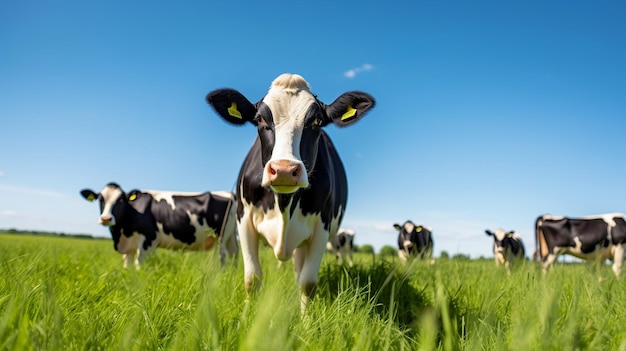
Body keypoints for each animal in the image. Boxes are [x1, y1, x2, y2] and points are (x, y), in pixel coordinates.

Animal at [81, 183, 238, 268]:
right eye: (100, 199)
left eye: (120, 200)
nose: (106, 218)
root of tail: (229, 193)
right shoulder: (129, 246)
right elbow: (127, 264)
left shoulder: (148, 238)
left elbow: (139, 262)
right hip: (231, 236)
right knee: (234, 254)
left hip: (221, 236)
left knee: (223, 256)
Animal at [205, 72, 372, 310]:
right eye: (260, 119)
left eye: (317, 121)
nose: (284, 169)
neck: (283, 204)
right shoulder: (243, 219)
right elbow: (252, 278)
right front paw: (246, 315)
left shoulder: (322, 227)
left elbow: (308, 283)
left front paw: (306, 320)